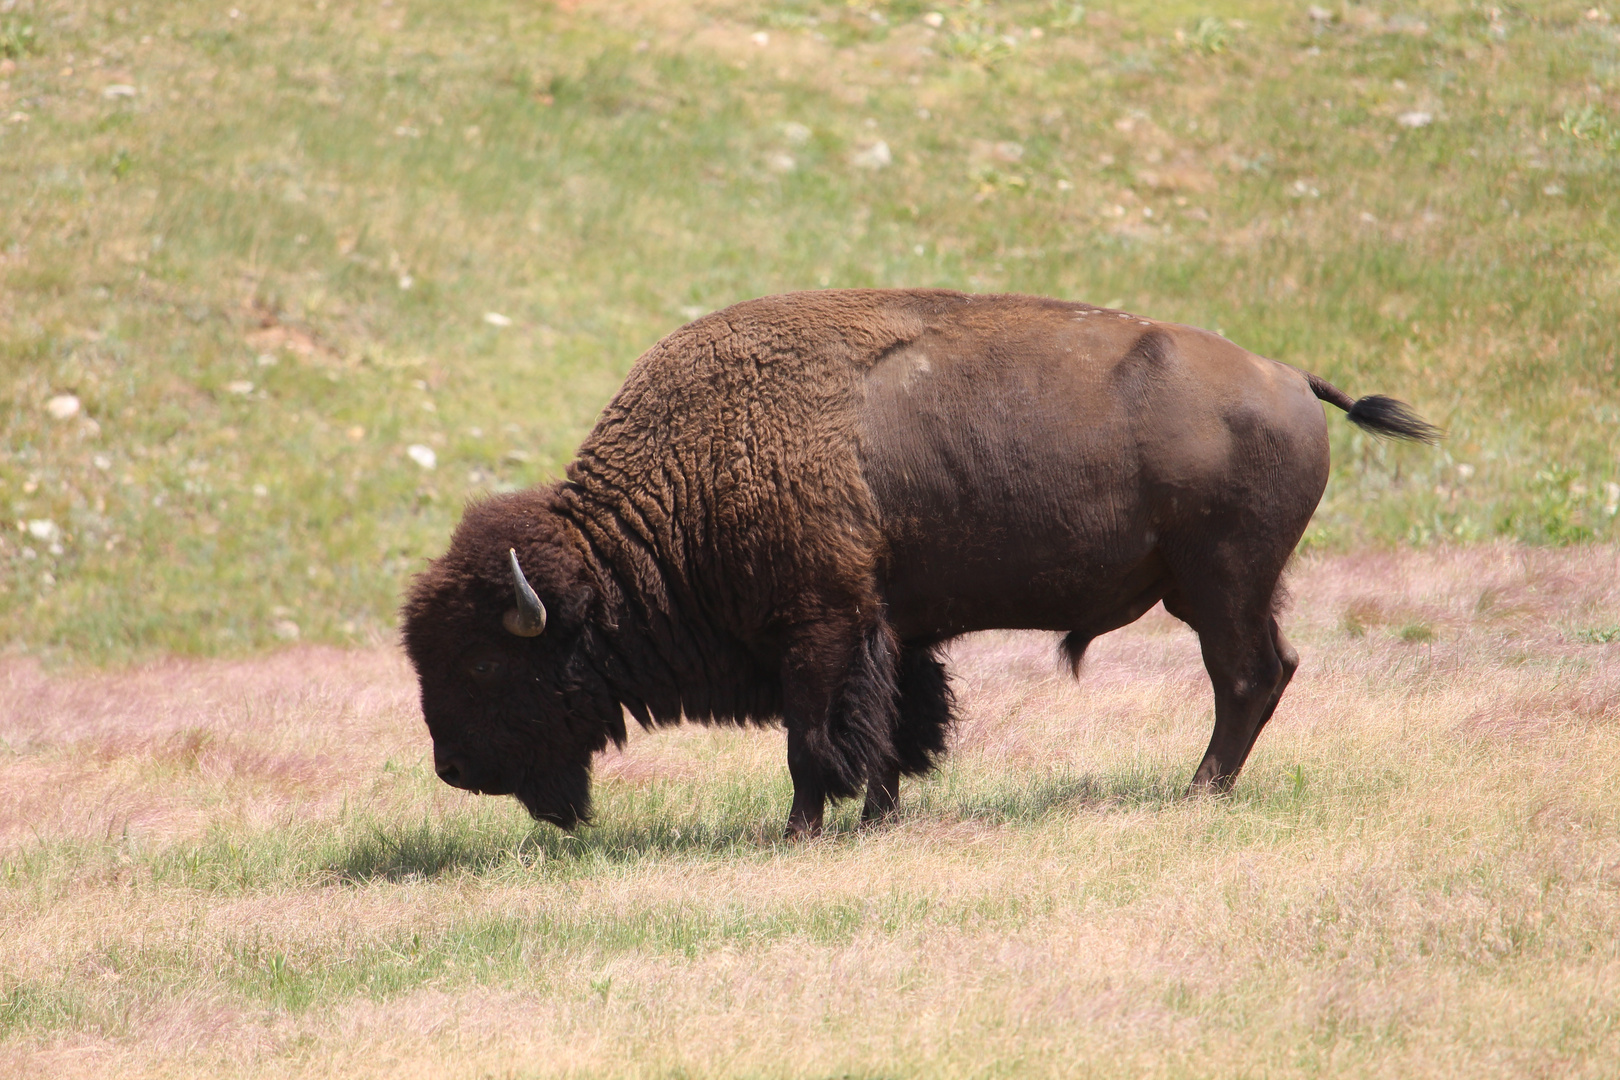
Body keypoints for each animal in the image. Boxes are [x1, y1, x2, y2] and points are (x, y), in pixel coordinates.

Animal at [398, 286, 1438, 835]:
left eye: (482, 661)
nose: (452, 769)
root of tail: (1290, 378)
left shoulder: (819, 629)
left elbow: (815, 741)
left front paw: (799, 832)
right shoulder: (892, 631)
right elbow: (893, 729)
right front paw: (879, 818)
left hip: (1219, 587)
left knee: (1247, 677)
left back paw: (1197, 791)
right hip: (1230, 589)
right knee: (1267, 671)